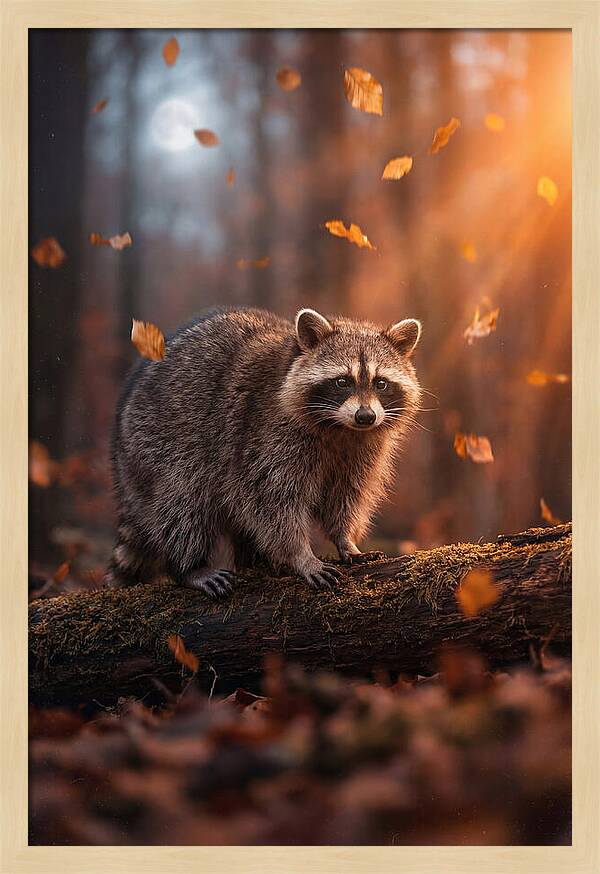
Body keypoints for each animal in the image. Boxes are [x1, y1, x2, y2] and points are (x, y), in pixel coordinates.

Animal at [108, 306, 422, 598]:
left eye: (381, 383)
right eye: (343, 381)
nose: (365, 416)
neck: (341, 428)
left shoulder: (362, 450)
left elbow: (345, 496)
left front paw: (345, 539)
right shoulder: (264, 435)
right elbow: (272, 501)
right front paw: (301, 555)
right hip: (157, 444)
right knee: (183, 503)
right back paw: (189, 567)